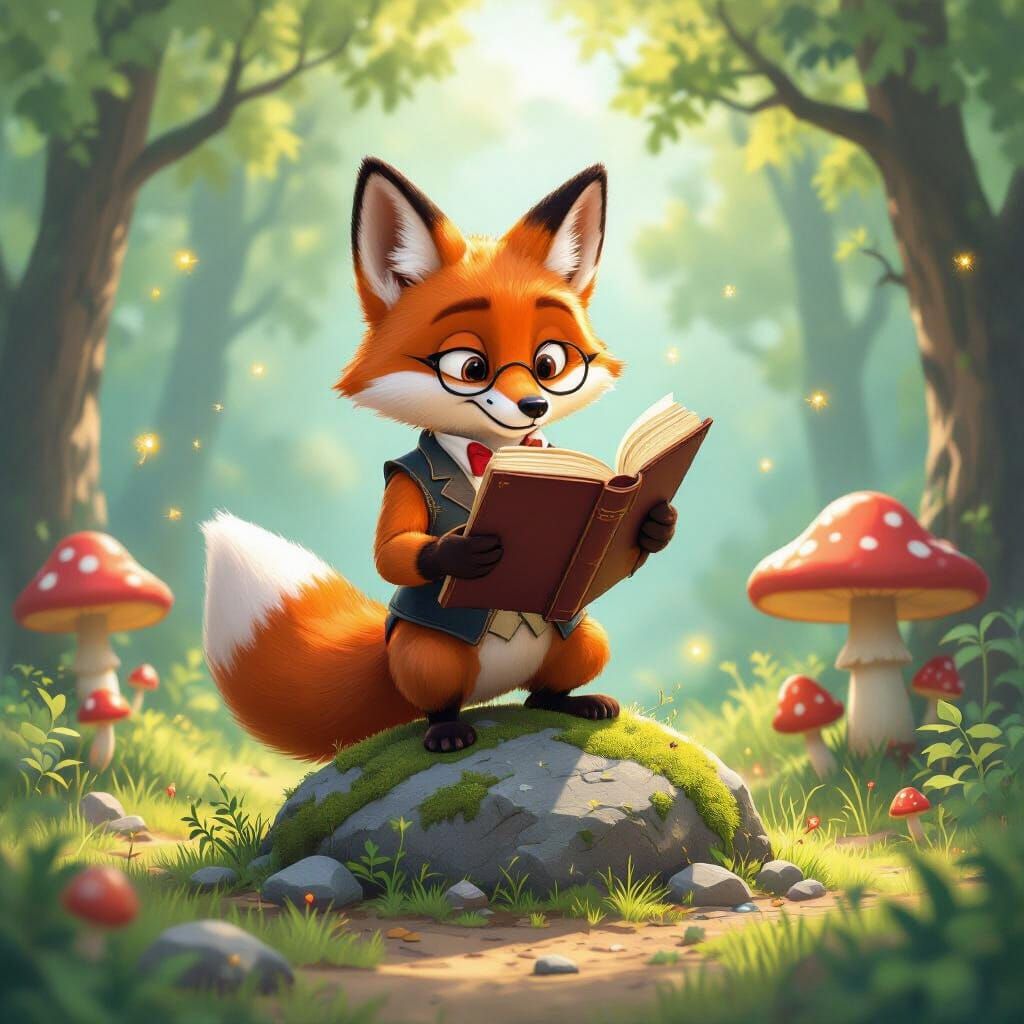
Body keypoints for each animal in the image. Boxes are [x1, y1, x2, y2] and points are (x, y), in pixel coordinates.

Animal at [202, 158, 678, 760]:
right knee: (438, 697)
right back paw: (447, 729)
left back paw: (571, 703)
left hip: (582, 634)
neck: (491, 453)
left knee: (543, 690)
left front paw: (657, 524)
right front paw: (464, 551)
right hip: (426, 655)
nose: (534, 405)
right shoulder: (403, 482)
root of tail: (493, 691)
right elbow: (392, 552)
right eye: (470, 367)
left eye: (549, 362)